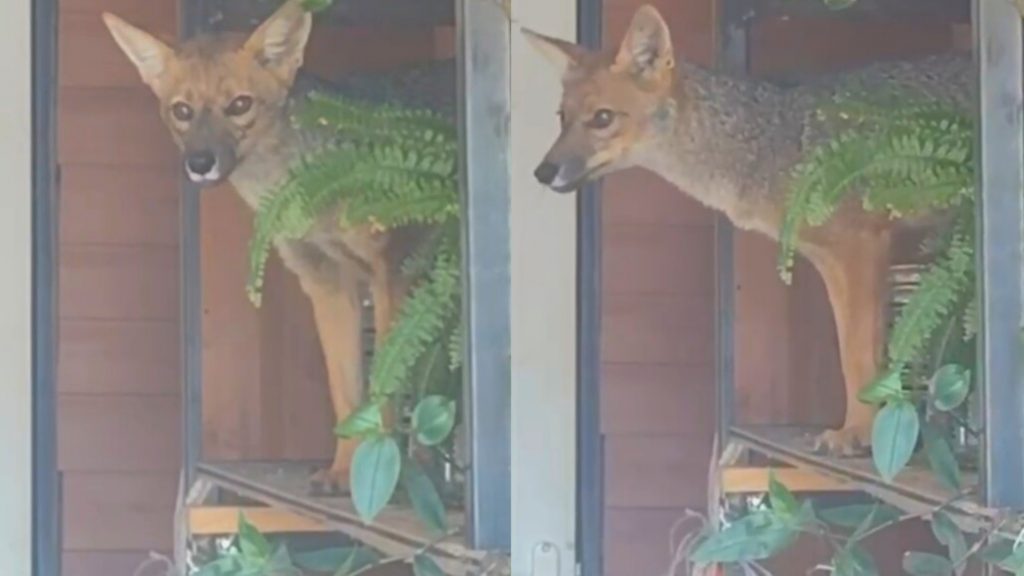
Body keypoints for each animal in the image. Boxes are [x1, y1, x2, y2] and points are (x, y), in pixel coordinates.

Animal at [102, 0, 454, 492]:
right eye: (182, 111)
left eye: (240, 105)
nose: (199, 162)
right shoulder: (327, 282)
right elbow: (347, 395)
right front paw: (344, 473)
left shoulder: (395, 271)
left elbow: (384, 388)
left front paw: (382, 480)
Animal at [523, 5, 973, 457]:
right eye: (562, 118)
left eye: (601, 119)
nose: (542, 172)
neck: (764, 144)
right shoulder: (834, 260)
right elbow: (858, 352)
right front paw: (866, 425)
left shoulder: (859, 249)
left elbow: (857, 356)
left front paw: (858, 433)